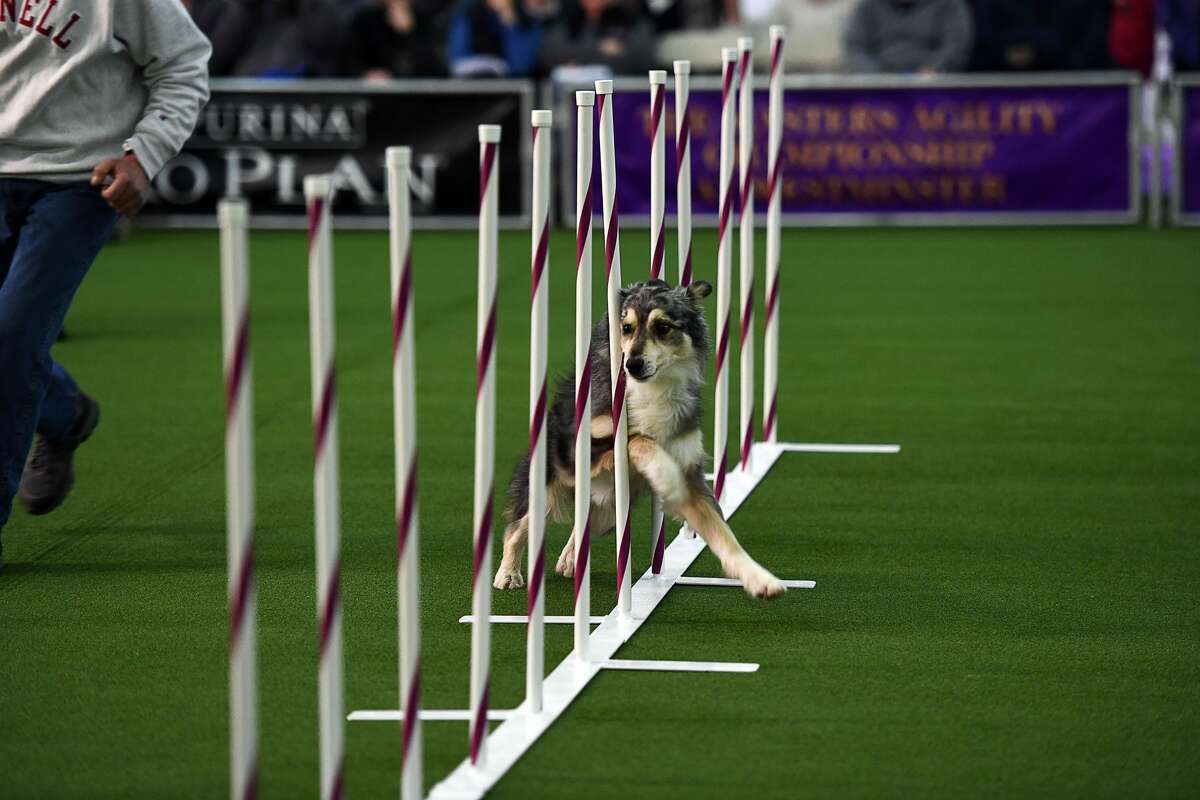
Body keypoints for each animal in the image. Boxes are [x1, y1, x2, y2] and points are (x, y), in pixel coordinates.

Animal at [492, 278, 782, 597]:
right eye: (627, 328)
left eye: (663, 327)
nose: (633, 365)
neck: (654, 389)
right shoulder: (579, 447)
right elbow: (638, 439)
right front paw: (664, 472)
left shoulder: (690, 472)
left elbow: (721, 531)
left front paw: (759, 579)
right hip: (550, 485)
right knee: (517, 527)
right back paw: (508, 574)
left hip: (611, 508)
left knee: (584, 523)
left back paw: (569, 558)